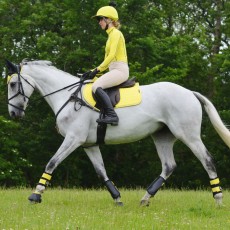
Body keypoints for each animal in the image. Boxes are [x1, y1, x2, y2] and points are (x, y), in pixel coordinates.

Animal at [6, 59, 229, 207]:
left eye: (13, 84)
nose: (14, 114)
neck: (67, 96)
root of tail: (190, 92)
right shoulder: (89, 144)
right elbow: (101, 171)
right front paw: (117, 198)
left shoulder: (73, 139)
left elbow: (52, 163)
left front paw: (36, 195)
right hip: (162, 136)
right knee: (168, 166)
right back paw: (145, 198)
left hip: (188, 135)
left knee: (207, 160)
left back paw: (218, 198)